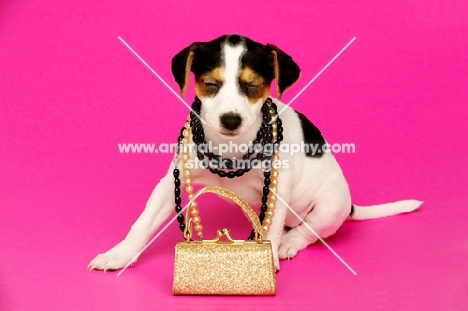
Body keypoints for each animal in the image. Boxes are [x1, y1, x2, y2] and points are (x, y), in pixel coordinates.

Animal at [88, 34, 420, 272]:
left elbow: (270, 227)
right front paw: (119, 254)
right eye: (210, 84)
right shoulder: (173, 180)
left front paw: (268, 258)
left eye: (253, 86)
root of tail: (350, 205)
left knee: (307, 231)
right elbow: (143, 222)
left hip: (330, 206)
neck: (231, 148)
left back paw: (287, 244)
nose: (230, 119)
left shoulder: (276, 188)